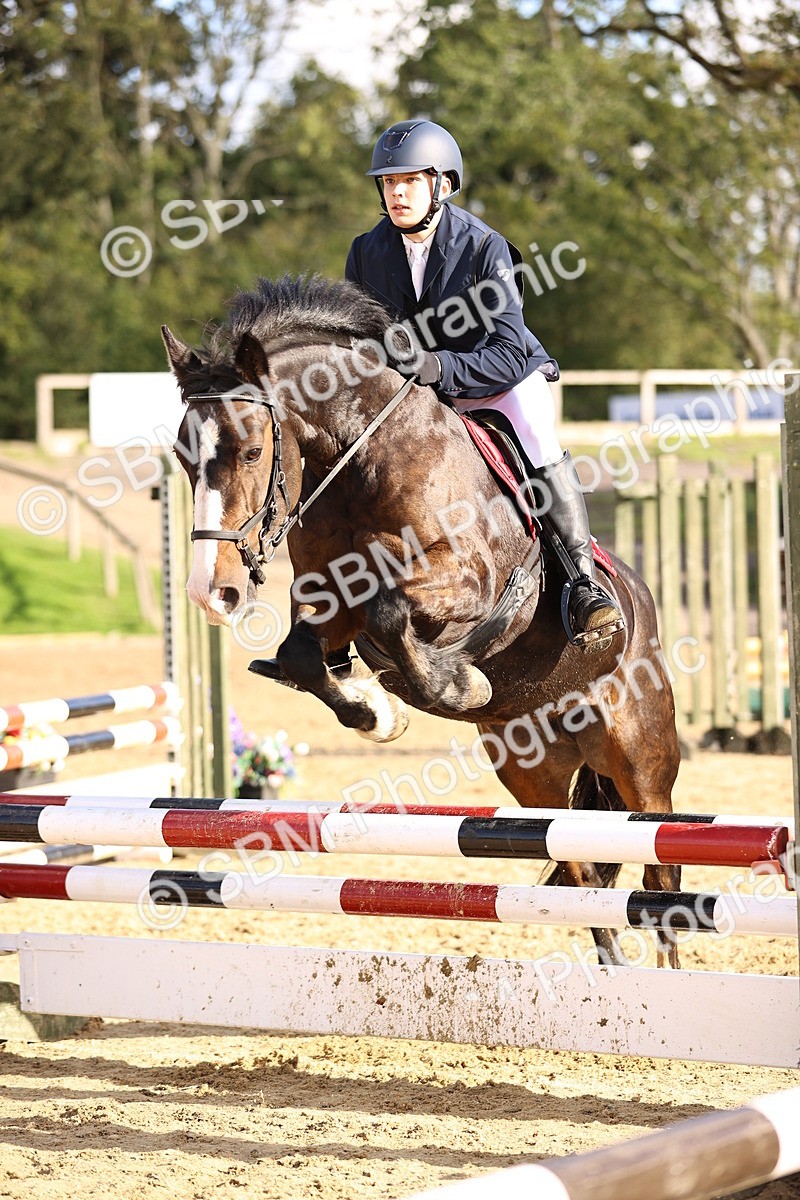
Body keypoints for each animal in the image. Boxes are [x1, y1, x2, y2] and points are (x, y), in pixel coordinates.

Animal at [162, 273, 682, 968]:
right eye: (181, 456)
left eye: (250, 452)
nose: (209, 591)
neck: (358, 458)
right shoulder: (327, 602)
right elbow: (307, 653)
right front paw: (377, 712)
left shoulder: (467, 579)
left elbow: (392, 613)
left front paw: (456, 685)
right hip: (534, 770)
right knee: (581, 871)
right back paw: (614, 966)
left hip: (640, 760)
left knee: (660, 874)